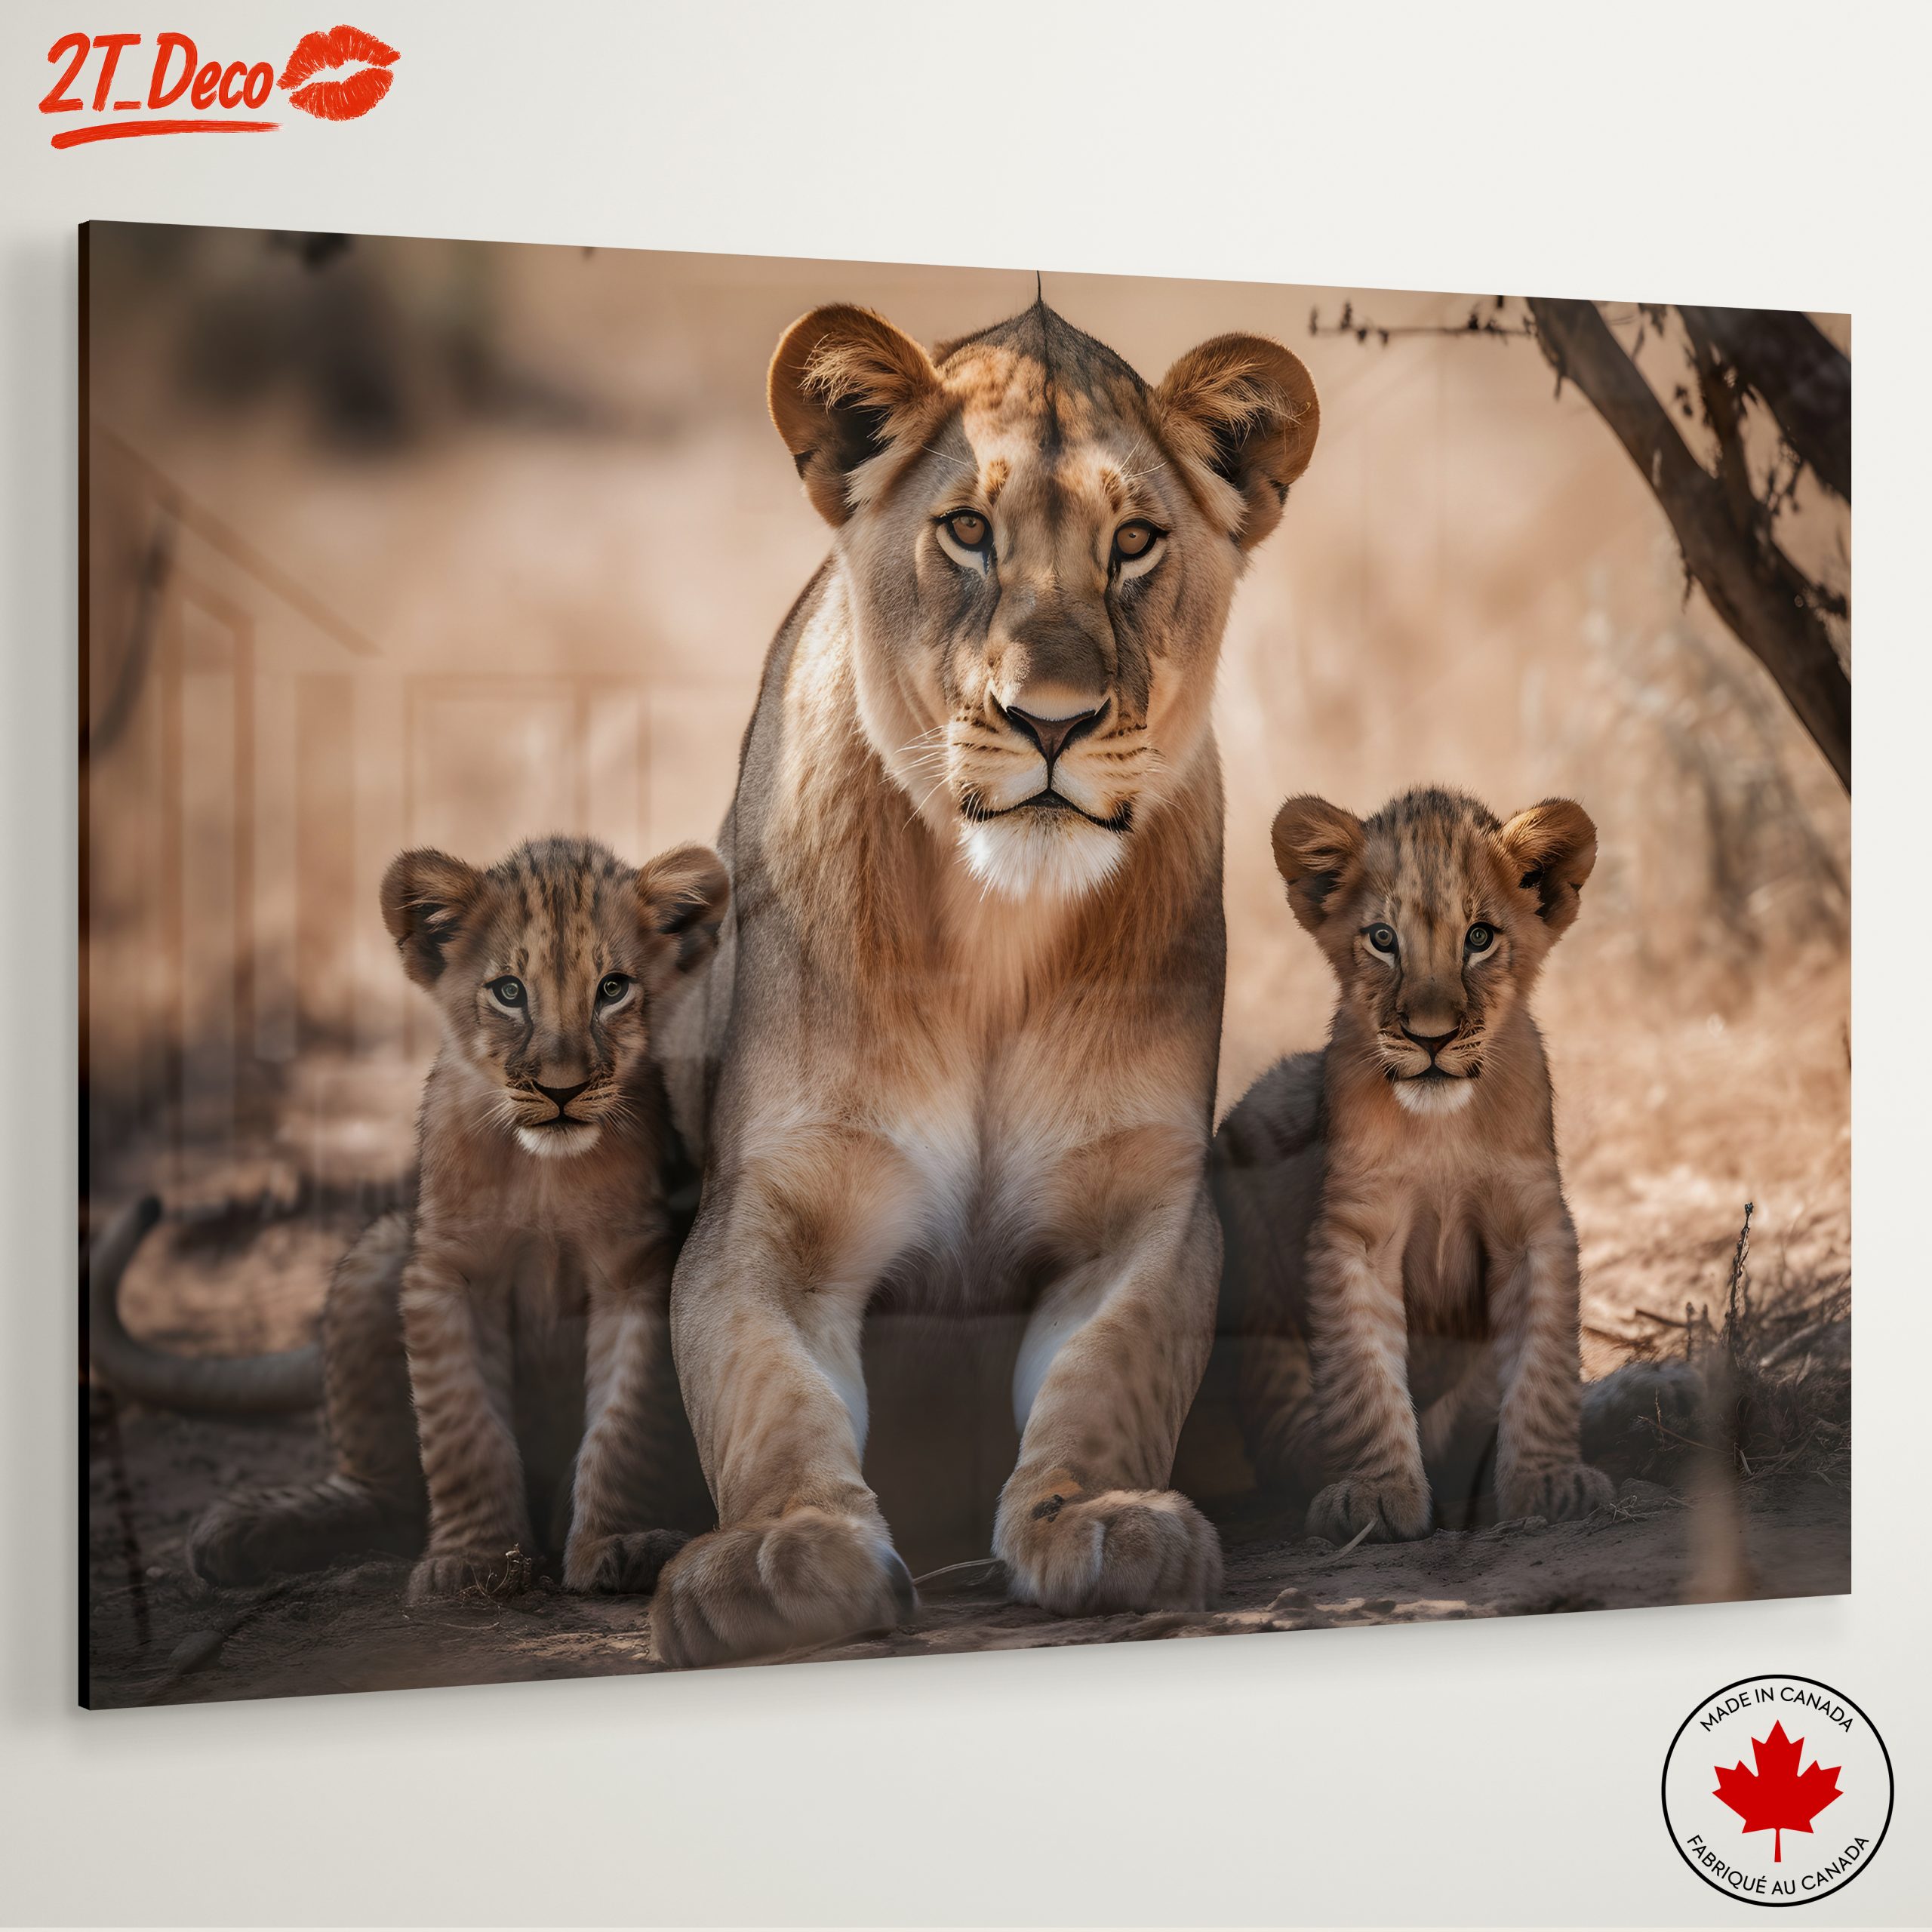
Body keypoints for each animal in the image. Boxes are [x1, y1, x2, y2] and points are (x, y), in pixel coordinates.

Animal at [179, 834, 729, 1599]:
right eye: (510, 992)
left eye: (613, 989)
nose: (562, 1091)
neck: (544, 1173)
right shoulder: (446, 1273)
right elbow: (463, 1430)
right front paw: (474, 1562)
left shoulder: (636, 1274)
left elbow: (624, 1428)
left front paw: (615, 1543)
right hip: (379, 1252)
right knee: (384, 1496)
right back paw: (244, 1530)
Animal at [648, 296, 1319, 1666]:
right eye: (967, 531)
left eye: (1134, 542)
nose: (1051, 720)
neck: (996, 929)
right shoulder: (769, 1215)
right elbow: (764, 1388)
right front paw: (777, 1552)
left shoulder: (1146, 1207)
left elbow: (1107, 1372)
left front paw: (1104, 1516)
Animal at [1212, 785, 1614, 1541]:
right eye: (1382, 939)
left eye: (1479, 939)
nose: (1431, 1038)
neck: (1441, 1131)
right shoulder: (1356, 1232)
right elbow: (1362, 1374)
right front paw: (1374, 1493)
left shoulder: (1532, 1223)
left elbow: (1543, 1366)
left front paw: (1548, 1481)